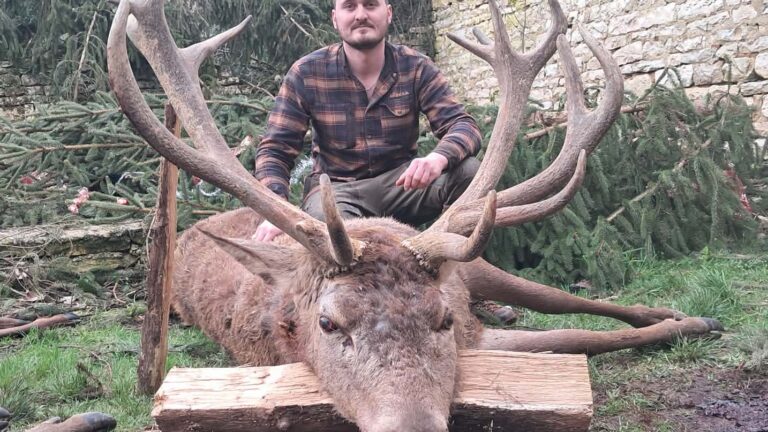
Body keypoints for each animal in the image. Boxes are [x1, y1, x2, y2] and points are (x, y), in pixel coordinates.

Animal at [106, 0, 723, 430]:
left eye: (442, 319)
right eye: (327, 324)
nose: (413, 425)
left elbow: (582, 332)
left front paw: (687, 323)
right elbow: (575, 339)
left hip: (470, 259)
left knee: (561, 297)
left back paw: (678, 315)